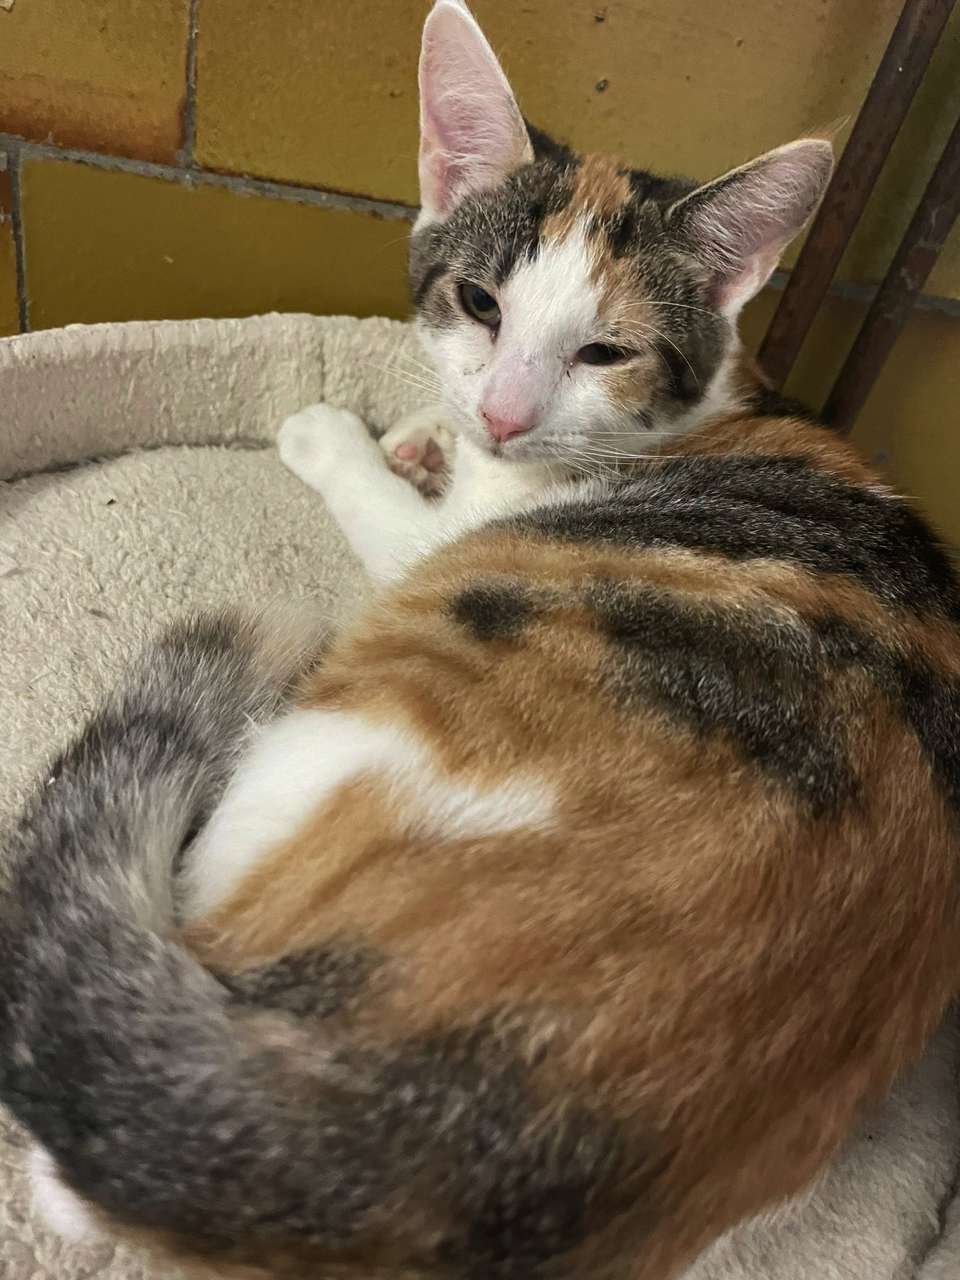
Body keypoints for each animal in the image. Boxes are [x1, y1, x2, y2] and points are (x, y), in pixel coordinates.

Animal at [3, 2, 960, 1279]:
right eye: (479, 304)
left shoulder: (450, 542)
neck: (697, 418)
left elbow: (398, 514)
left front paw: (341, 438)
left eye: (605, 352)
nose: (504, 413)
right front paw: (421, 430)